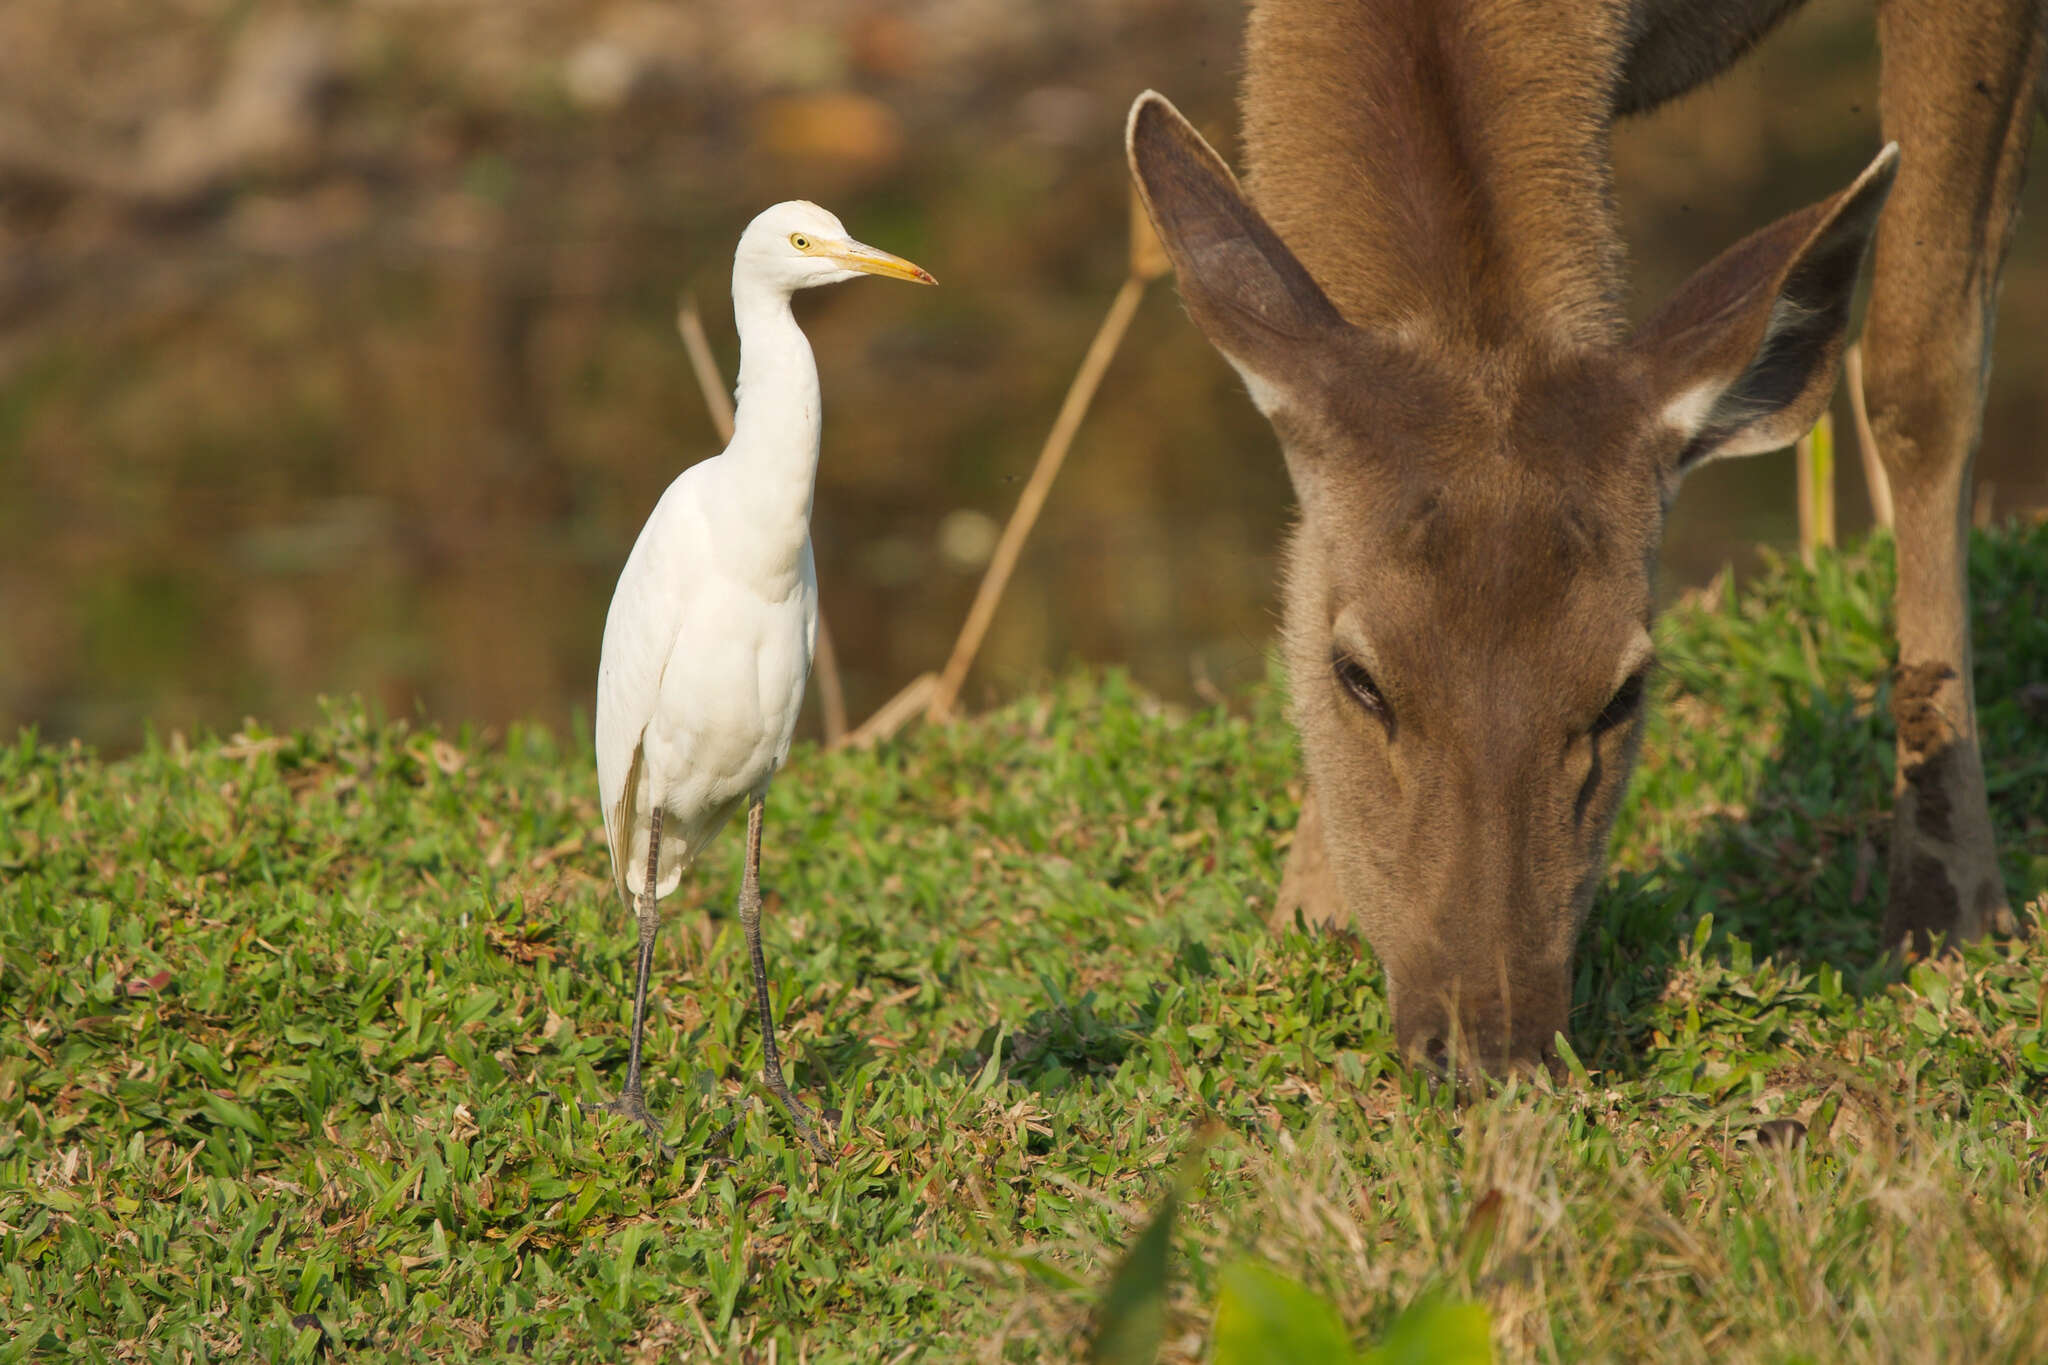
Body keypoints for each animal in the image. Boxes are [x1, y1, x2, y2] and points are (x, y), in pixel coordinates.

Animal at [1130, 0, 2039, 1064]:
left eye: (1624, 690)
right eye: (1357, 675)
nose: (1488, 1045)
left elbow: (1920, 371)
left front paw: (1950, 912)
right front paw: (1302, 919)